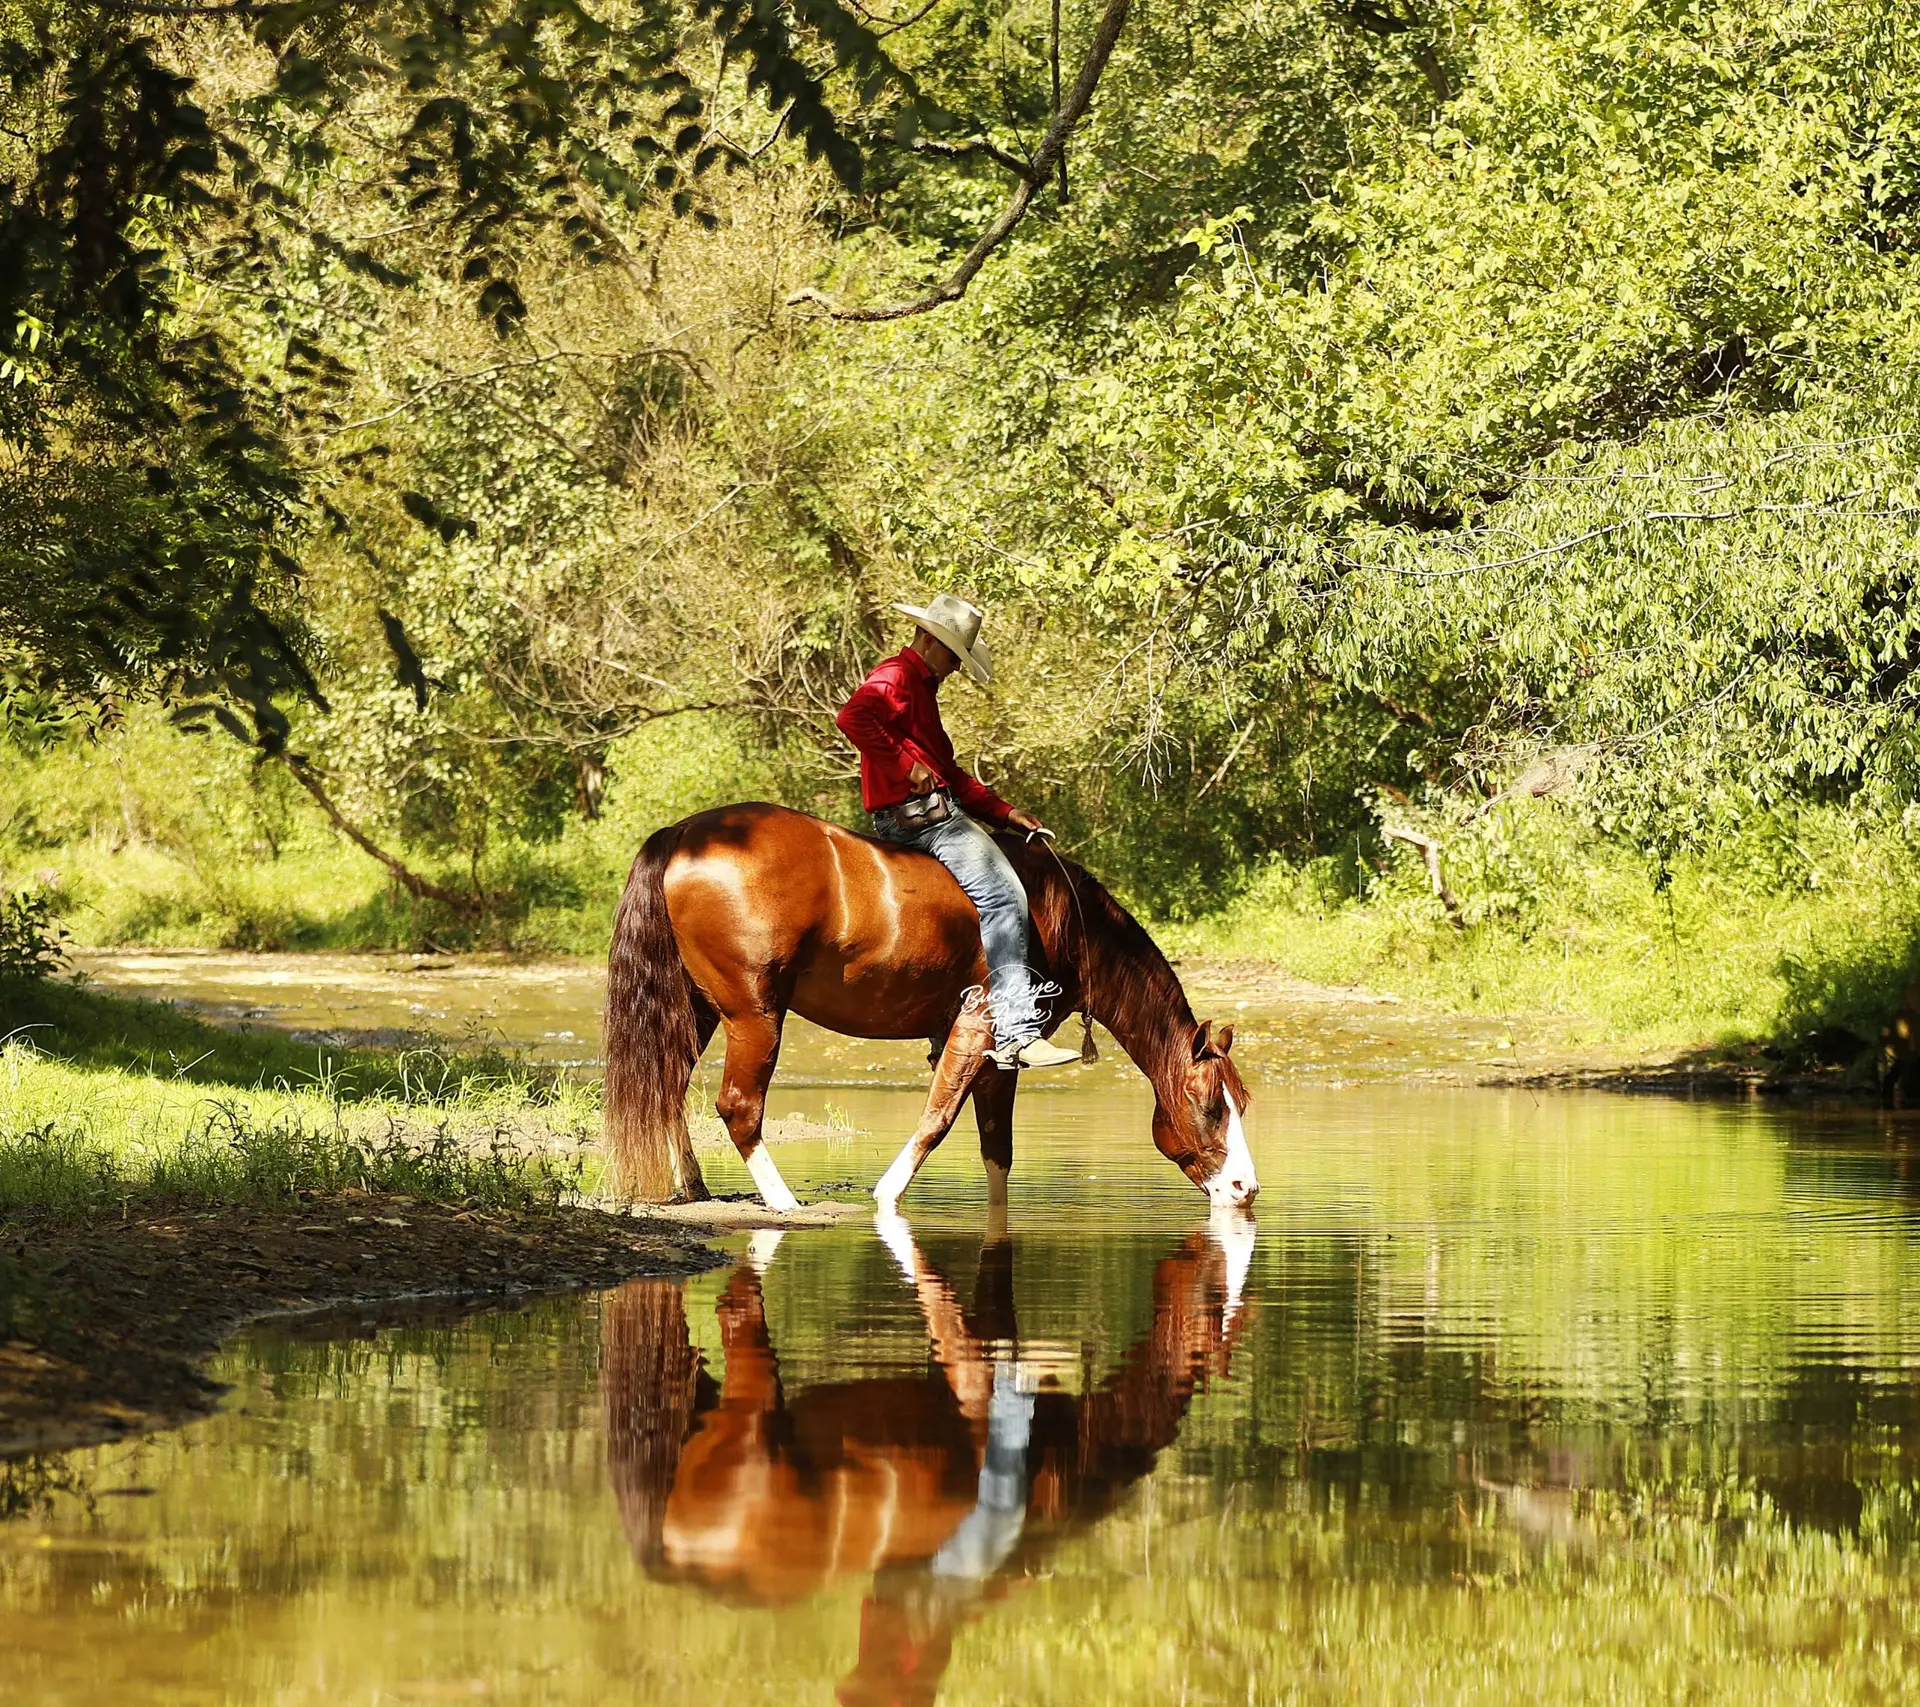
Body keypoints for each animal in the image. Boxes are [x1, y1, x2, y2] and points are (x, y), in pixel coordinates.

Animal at [602, 802, 1258, 1213]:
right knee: (738, 1107)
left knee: (666, 1087)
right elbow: (937, 1119)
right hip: (755, 1016)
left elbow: (997, 1148)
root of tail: (684, 835)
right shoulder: (977, 1026)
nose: (1246, 1188)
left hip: (697, 1009)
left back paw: (693, 1184)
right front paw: (887, 1198)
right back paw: (784, 1202)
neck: (1067, 919)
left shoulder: (1002, 1055)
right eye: (1208, 1105)